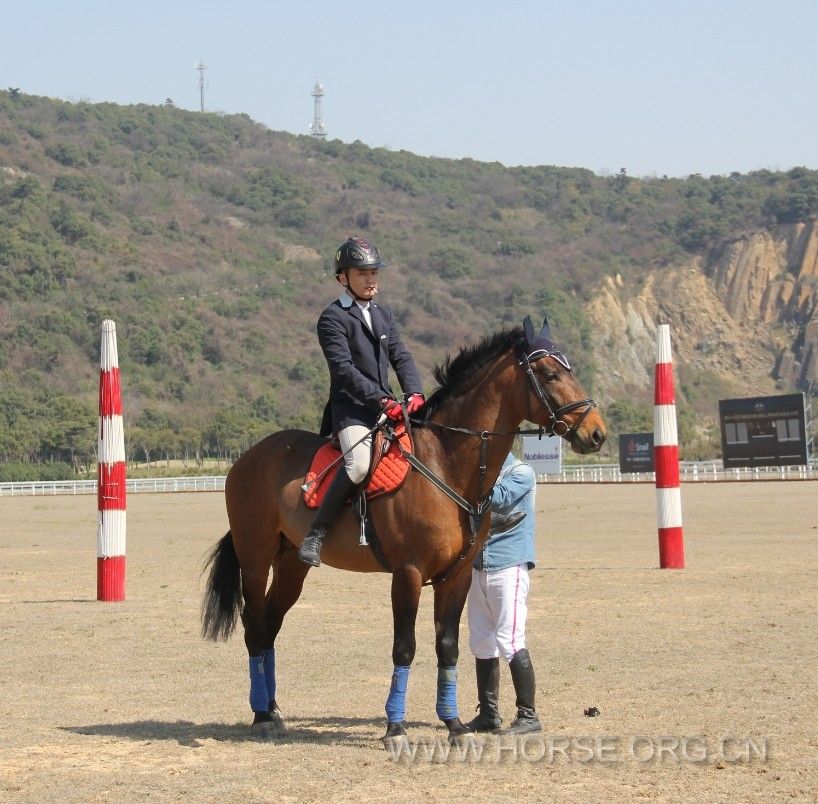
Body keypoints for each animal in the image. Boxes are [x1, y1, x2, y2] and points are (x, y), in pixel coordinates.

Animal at [201, 314, 604, 748]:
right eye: (550, 374)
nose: (597, 433)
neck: (445, 462)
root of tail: (248, 457)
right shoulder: (408, 574)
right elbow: (404, 648)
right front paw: (395, 727)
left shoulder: (456, 577)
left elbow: (448, 647)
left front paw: (454, 724)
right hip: (255, 560)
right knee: (254, 627)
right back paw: (261, 715)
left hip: (292, 564)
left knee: (271, 626)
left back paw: (273, 709)